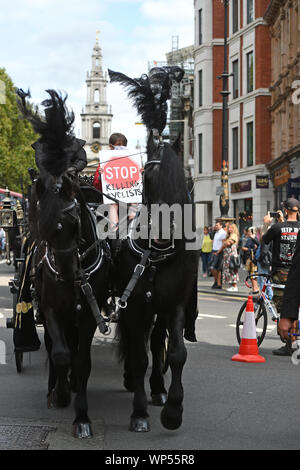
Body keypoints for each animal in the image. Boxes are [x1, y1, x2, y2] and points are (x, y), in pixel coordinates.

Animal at [112, 136, 199, 434]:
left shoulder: (175, 304)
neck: (156, 256)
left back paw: (159, 389)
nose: (162, 228)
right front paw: (139, 413)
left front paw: (173, 411)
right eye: (147, 175)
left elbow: (176, 353)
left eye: (183, 179)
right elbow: (139, 357)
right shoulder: (134, 306)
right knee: (134, 342)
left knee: (157, 340)